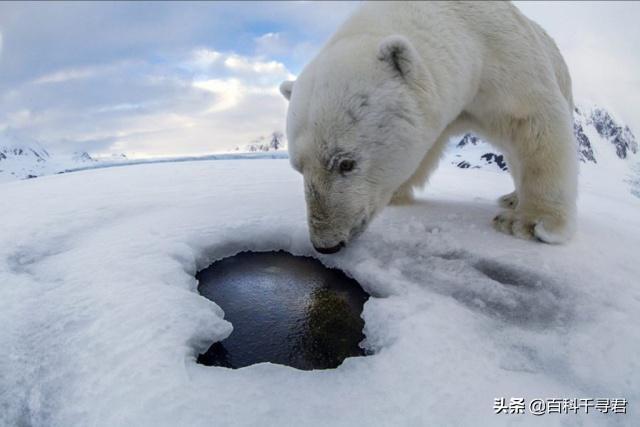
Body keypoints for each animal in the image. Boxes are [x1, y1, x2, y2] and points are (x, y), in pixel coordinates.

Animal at [278, 0, 576, 254]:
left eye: (346, 163)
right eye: (297, 167)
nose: (326, 244)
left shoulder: (505, 59)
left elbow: (534, 125)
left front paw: (529, 222)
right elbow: (424, 150)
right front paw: (398, 192)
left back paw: (512, 199)